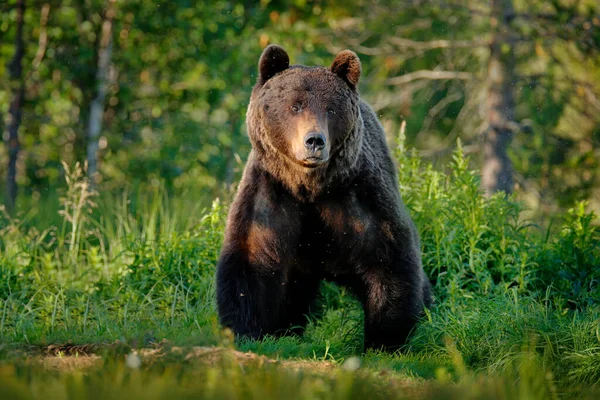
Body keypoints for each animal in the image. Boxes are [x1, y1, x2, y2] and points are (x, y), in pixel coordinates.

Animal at [216, 44, 432, 350]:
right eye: (295, 106)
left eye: (330, 109)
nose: (314, 141)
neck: (310, 187)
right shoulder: (272, 194)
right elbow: (250, 259)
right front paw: (246, 332)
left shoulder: (358, 196)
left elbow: (389, 258)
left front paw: (385, 339)